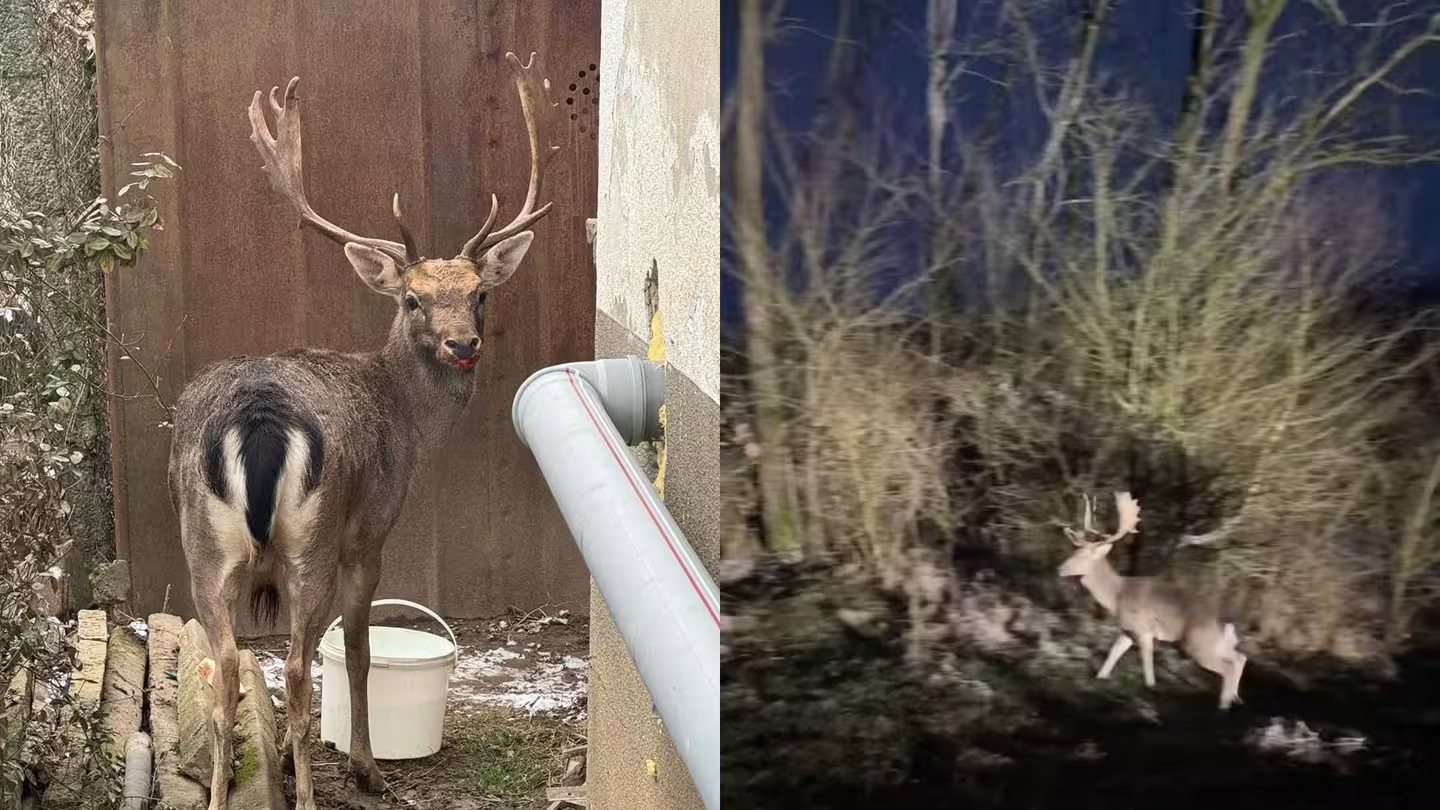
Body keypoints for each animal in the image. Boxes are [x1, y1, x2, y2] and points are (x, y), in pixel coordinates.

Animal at [168, 51, 561, 807]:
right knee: (295, 664)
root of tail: (258, 416)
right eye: (412, 298)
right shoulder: (371, 527)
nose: (463, 344)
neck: (404, 416)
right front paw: (365, 767)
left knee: (226, 665)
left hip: (203, 543)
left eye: (479, 293)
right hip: (310, 540)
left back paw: (221, 791)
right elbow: (354, 648)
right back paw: (311, 794)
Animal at [1059, 484, 1249, 706]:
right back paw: (1235, 699)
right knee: (1240, 658)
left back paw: (1223, 706)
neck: (1117, 596)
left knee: (1228, 667)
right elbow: (1113, 654)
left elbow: (1147, 663)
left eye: (1083, 555)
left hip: (1198, 644)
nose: (1060, 569)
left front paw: (1150, 688)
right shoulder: (1127, 630)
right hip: (1220, 644)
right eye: (1073, 551)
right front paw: (1099, 679)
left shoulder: (1143, 629)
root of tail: (1226, 621)